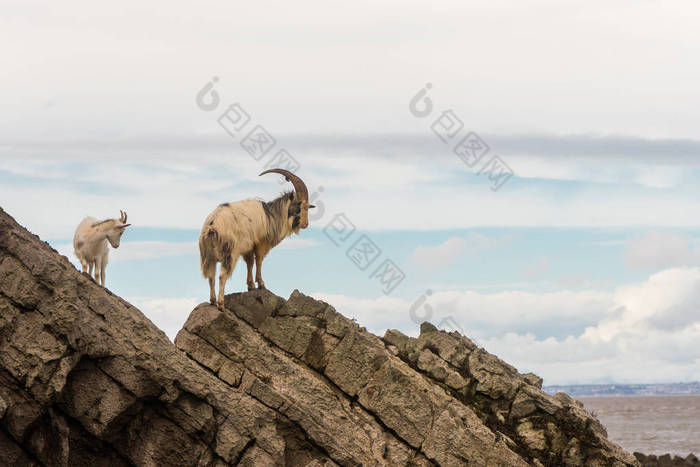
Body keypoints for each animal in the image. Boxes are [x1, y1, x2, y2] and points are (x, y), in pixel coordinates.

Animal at [200, 169, 314, 310]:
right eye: (299, 205)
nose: (305, 224)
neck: (272, 216)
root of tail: (212, 224)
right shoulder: (261, 243)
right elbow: (259, 260)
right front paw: (261, 284)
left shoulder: (248, 248)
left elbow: (250, 263)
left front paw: (251, 286)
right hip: (229, 253)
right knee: (222, 276)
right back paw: (221, 304)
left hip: (208, 256)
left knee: (211, 277)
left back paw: (213, 301)